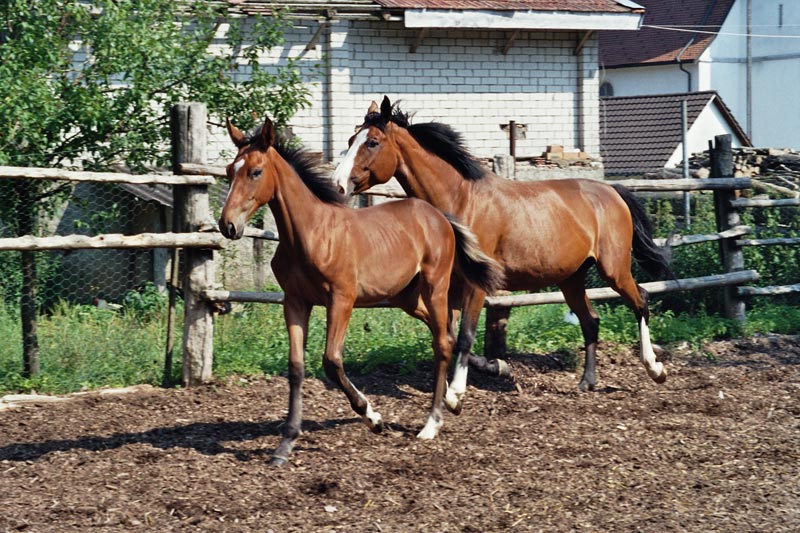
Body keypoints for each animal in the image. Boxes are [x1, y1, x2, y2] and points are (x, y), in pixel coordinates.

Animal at [218, 116, 503, 465]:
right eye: (230, 170)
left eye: (256, 172)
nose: (228, 225)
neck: (311, 233)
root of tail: (439, 215)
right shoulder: (295, 302)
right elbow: (296, 367)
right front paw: (285, 444)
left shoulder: (341, 299)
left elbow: (331, 360)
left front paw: (373, 418)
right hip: (405, 297)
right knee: (446, 334)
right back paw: (454, 399)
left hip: (435, 286)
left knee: (442, 343)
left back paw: (432, 422)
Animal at [332, 96, 673, 413]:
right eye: (350, 141)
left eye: (372, 142)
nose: (337, 186)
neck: (461, 199)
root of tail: (612, 191)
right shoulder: (450, 286)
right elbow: (449, 334)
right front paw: (494, 369)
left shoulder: (477, 285)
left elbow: (465, 335)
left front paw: (457, 393)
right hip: (571, 278)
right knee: (591, 321)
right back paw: (586, 382)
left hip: (613, 268)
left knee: (641, 300)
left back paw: (655, 369)